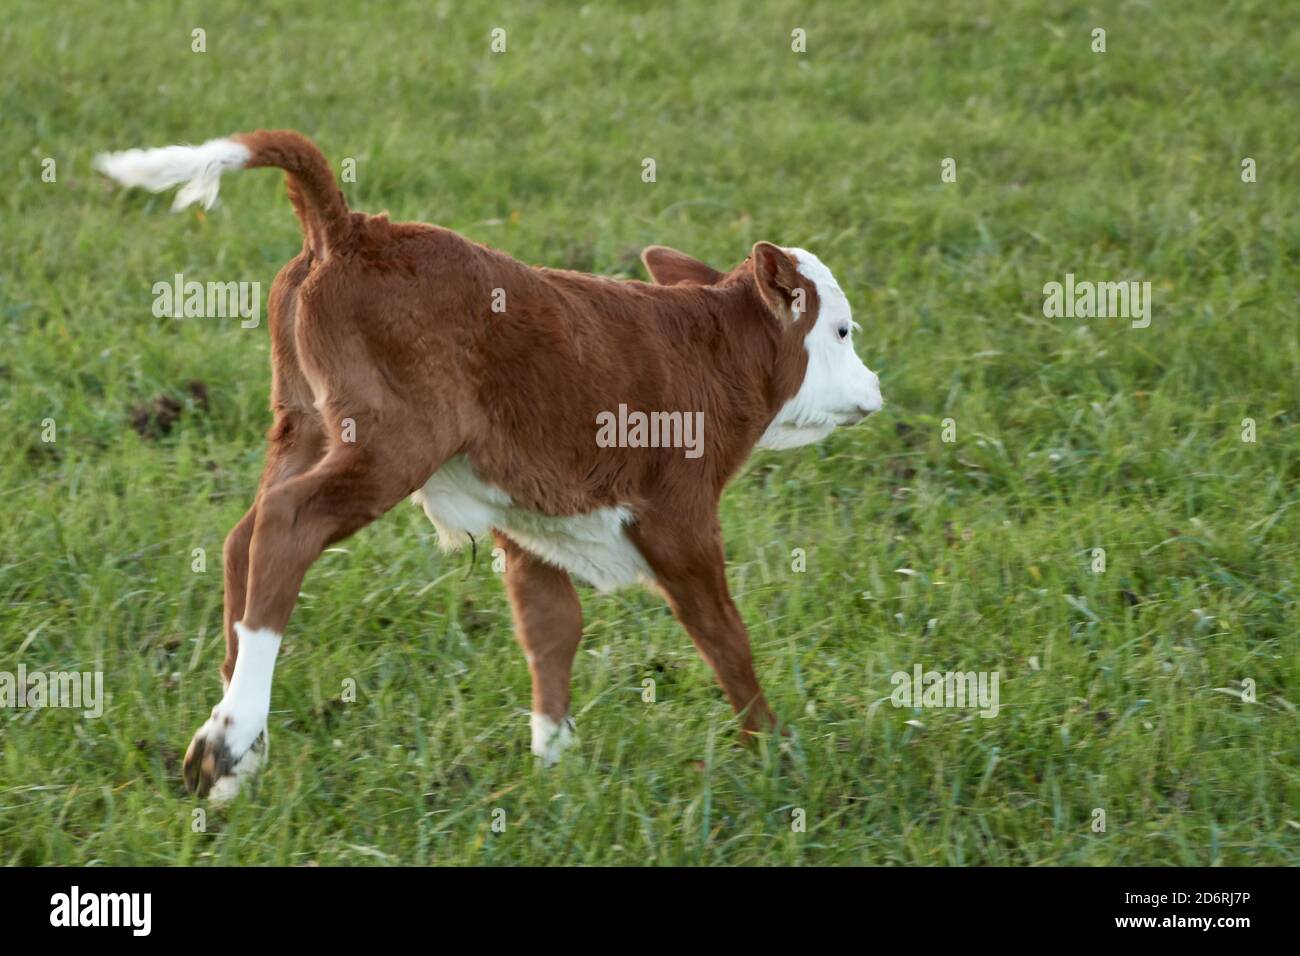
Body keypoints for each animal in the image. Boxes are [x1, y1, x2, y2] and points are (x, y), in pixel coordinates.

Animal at [94, 128, 883, 801]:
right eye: (842, 331)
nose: (876, 386)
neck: (713, 352)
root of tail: (350, 229)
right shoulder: (679, 516)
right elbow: (723, 632)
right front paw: (775, 750)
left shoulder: (531, 518)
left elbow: (551, 628)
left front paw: (556, 767)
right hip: (392, 442)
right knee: (287, 527)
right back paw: (227, 738)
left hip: (305, 426)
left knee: (243, 540)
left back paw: (239, 748)